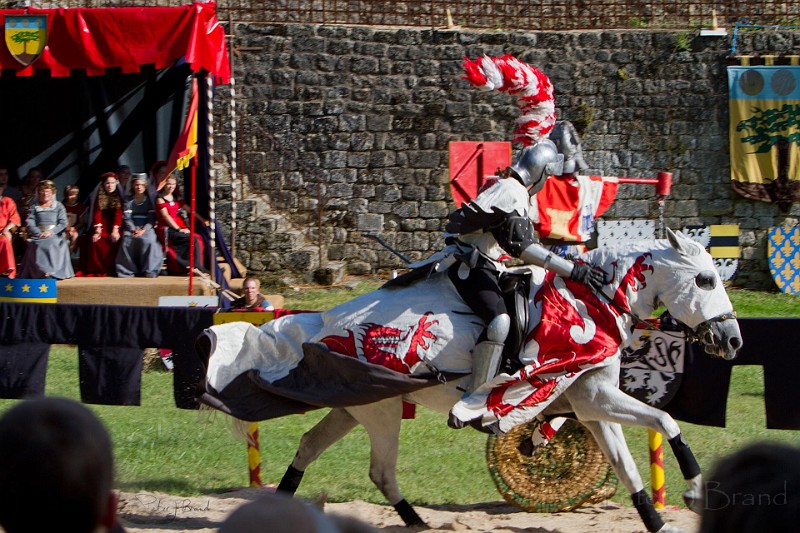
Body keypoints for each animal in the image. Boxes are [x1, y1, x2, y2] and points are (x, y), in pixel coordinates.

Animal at [202, 231, 744, 532]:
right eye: (705, 280)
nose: (733, 340)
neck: (589, 302)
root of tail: (322, 324)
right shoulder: (594, 398)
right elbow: (667, 420)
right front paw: (694, 491)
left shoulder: (591, 405)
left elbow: (631, 467)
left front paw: (657, 521)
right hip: (380, 410)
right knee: (377, 470)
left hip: (356, 408)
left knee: (313, 449)